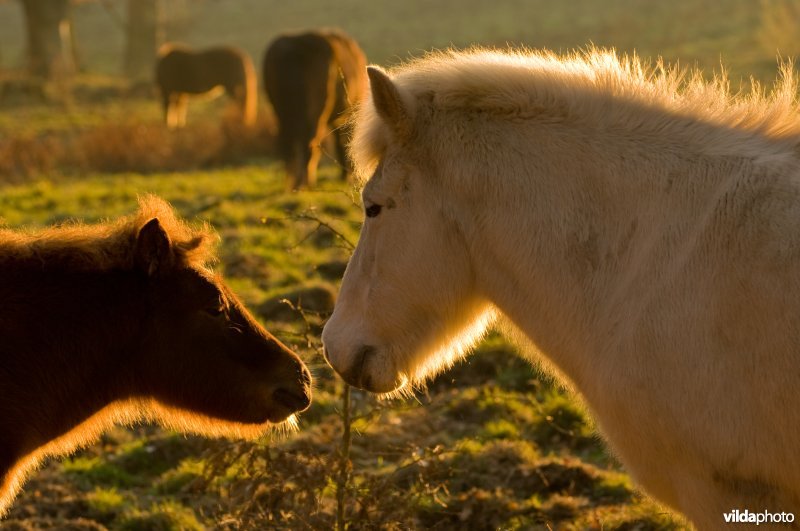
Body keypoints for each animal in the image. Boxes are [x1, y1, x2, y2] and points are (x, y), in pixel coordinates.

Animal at [263, 29, 367, 190]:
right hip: (316, 112)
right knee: (311, 143)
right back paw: (306, 183)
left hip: (281, 113)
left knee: (289, 146)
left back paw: (291, 184)